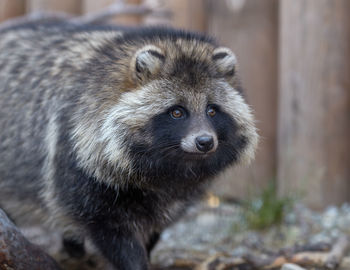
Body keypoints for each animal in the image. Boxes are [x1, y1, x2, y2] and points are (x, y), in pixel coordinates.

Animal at [0, 23, 258, 270]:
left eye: (212, 110)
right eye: (177, 112)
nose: (205, 142)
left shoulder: (174, 197)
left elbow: (155, 230)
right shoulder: (75, 162)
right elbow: (115, 237)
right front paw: (134, 263)